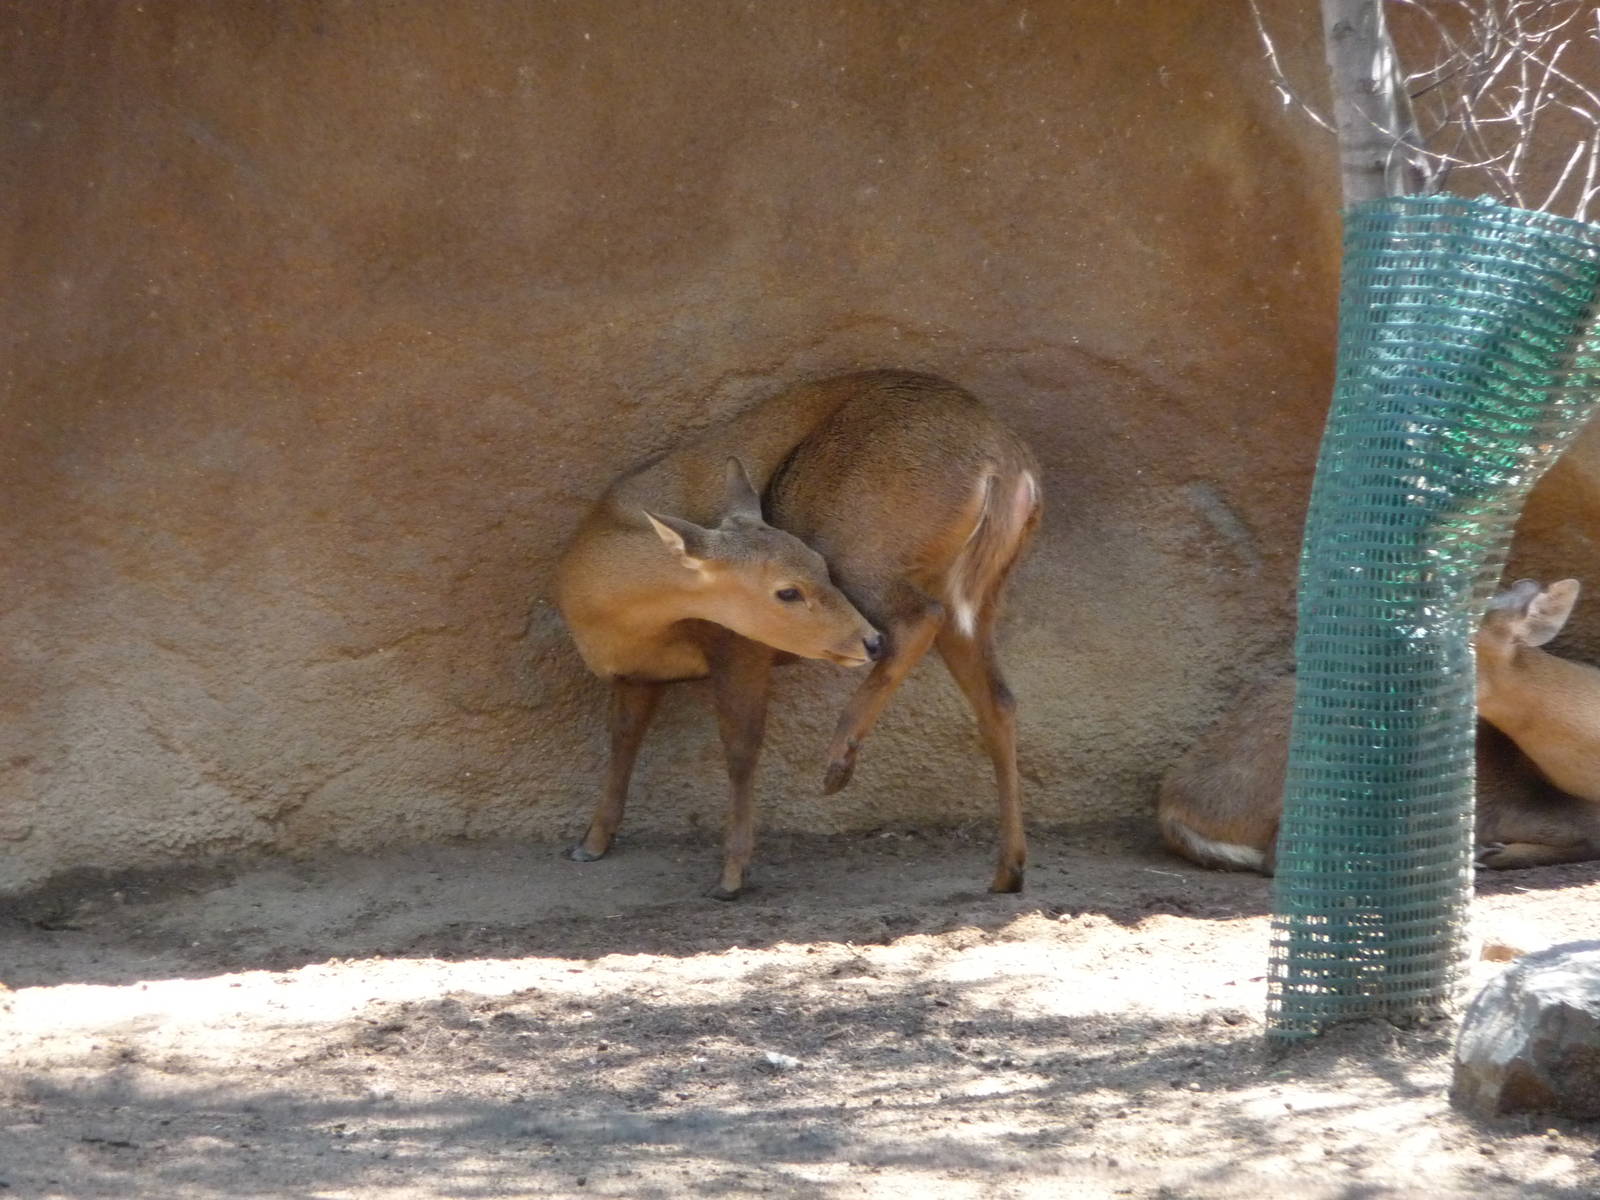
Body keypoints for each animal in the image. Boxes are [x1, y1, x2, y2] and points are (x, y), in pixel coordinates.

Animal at [556, 369, 1041, 900]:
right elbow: (623, 741)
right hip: (978, 591)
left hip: (866, 546)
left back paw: (838, 759)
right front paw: (592, 842)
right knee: (998, 700)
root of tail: (1008, 468)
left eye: (813, 570)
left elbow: (741, 746)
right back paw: (1008, 869)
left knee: (920, 620)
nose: (867, 641)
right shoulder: (636, 675)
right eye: (788, 590)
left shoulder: (740, 646)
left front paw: (731, 874)